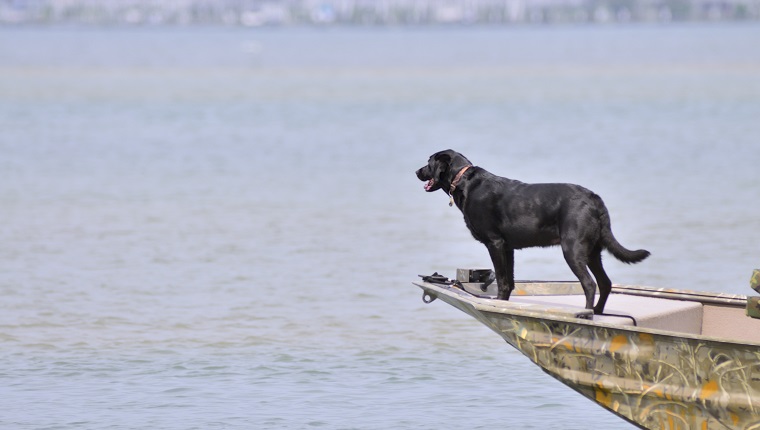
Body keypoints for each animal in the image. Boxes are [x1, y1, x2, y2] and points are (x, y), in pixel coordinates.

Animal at [416, 149, 648, 314]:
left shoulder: (495, 243)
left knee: (590, 283)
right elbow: (509, 282)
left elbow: (502, 280)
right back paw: (599, 311)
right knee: (605, 283)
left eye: (429, 162)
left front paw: (498, 302)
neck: (465, 181)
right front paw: (504, 303)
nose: (416, 171)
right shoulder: (507, 248)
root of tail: (593, 197)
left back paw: (587, 314)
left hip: (572, 249)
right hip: (592, 251)